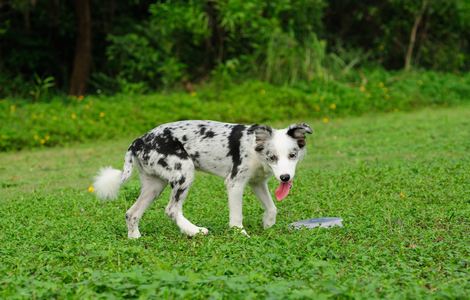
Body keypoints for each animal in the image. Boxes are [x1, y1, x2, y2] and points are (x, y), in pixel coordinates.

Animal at [93, 120, 310, 238]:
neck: (256, 147)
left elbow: (272, 208)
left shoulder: (257, 182)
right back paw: (194, 231)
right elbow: (236, 217)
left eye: (293, 155)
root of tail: (139, 140)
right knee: (171, 209)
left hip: (154, 185)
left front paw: (268, 224)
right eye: (272, 157)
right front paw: (240, 234)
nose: (285, 177)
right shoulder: (234, 183)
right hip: (185, 172)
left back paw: (135, 238)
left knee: (132, 213)